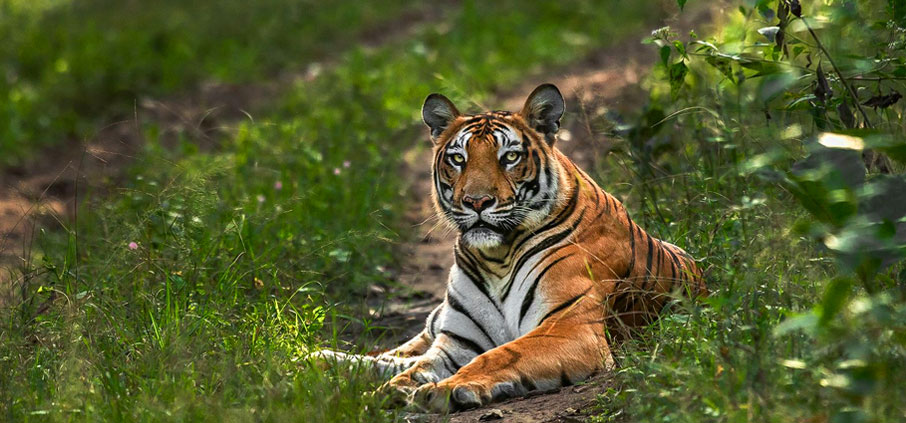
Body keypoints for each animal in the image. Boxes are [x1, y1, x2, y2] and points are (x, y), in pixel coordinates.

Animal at [314, 83, 704, 414]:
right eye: (458, 159)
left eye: (510, 157)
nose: (476, 202)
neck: (496, 257)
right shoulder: (457, 342)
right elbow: (417, 367)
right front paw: (389, 392)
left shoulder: (569, 327)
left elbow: (502, 355)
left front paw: (443, 390)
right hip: (435, 324)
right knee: (396, 355)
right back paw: (320, 359)